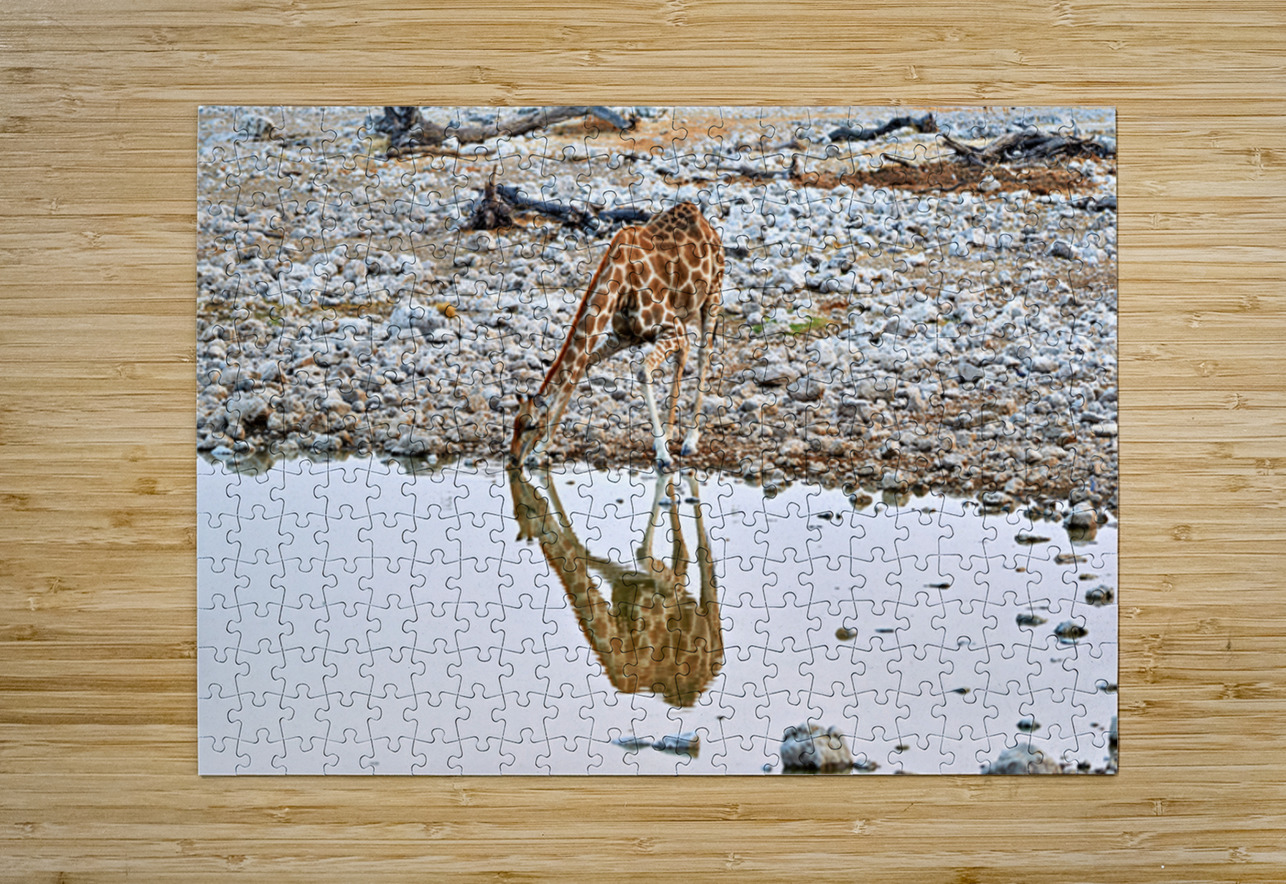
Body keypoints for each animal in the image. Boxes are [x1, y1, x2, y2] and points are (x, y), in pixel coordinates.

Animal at [508, 467, 723, 707]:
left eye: (524, 509)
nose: (516, 470)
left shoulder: (659, 592)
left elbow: (644, 553)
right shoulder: (623, 584)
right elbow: (583, 550)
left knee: (701, 556)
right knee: (682, 552)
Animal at [509, 201, 725, 470]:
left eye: (531, 425)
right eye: (514, 424)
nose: (513, 458)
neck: (620, 284)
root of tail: (703, 219)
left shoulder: (669, 327)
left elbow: (642, 372)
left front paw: (663, 456)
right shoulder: (624, 335)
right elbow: (580, 370)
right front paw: (540, 453)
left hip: (712, 294)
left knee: (704, 353)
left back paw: (689, 440)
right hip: (684, 314)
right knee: (684, 354)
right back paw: (669, 434)